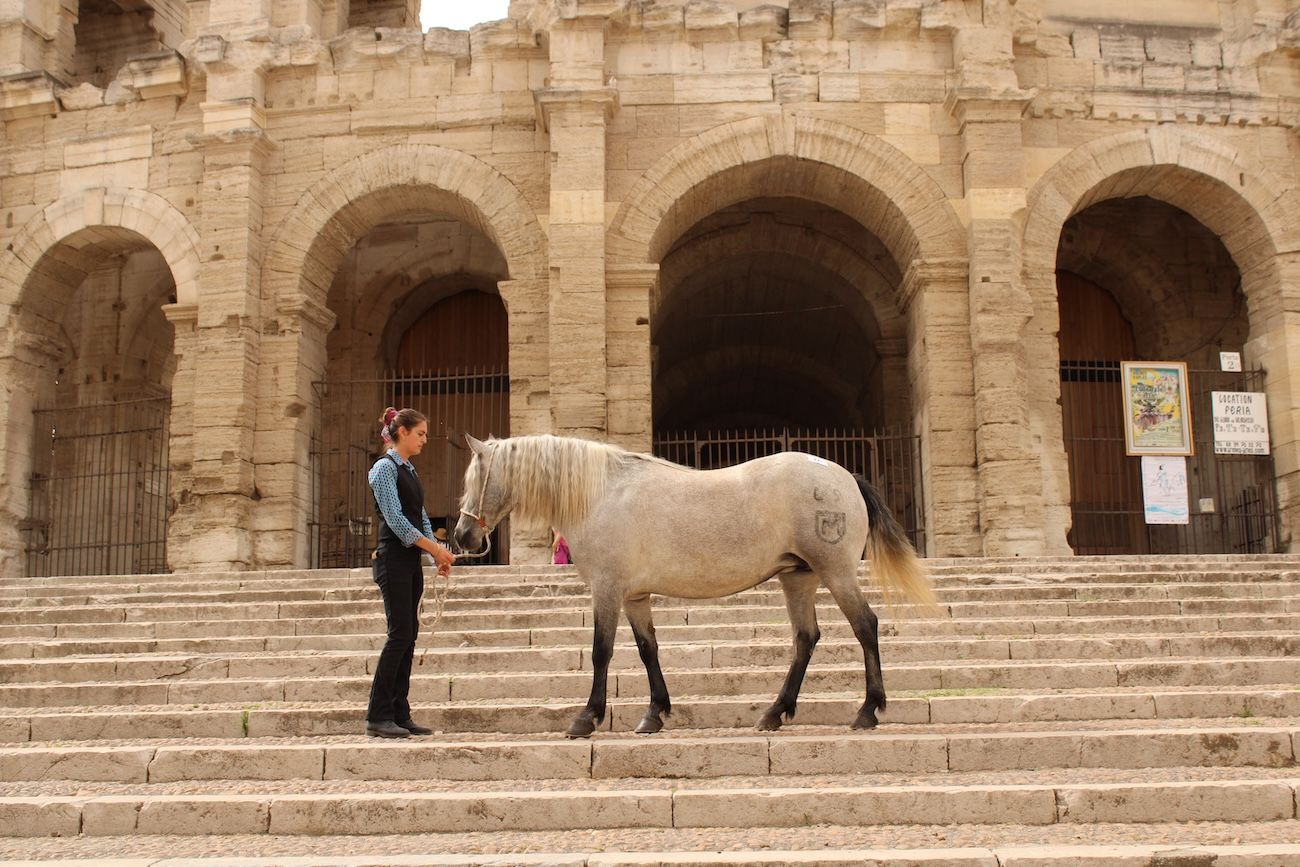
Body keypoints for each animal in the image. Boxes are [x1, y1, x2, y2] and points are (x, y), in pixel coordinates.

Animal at [454, 434, 935, 738]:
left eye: (476, 480)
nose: (461, 537)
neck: (603, 494)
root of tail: (845, 476)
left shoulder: (607, 591)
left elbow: (601, 652)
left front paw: (586, 718)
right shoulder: (635, 597)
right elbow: (647, 650)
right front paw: (654, 715)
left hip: (836, 573)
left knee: (865, 626)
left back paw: (867, 711)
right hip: (798, 579)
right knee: (806, 639)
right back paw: (774, 713)